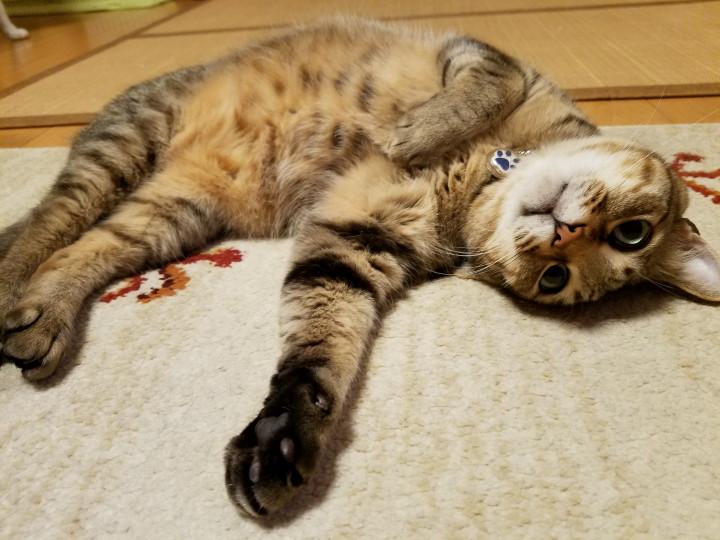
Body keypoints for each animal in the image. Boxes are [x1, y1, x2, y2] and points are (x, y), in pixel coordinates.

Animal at [0, 17, 718, 518]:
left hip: (172, 211)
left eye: (555, 280)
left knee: (81, 248)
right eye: (632, 234)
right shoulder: (479, 55)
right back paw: (13, 282)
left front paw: (284, 438)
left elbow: (320, 344)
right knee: (46, 222)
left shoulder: (357, 239)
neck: (476, 182)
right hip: (126, 142)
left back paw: (42, 318)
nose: (562, 237)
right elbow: (487, 84)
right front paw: (416, 130)